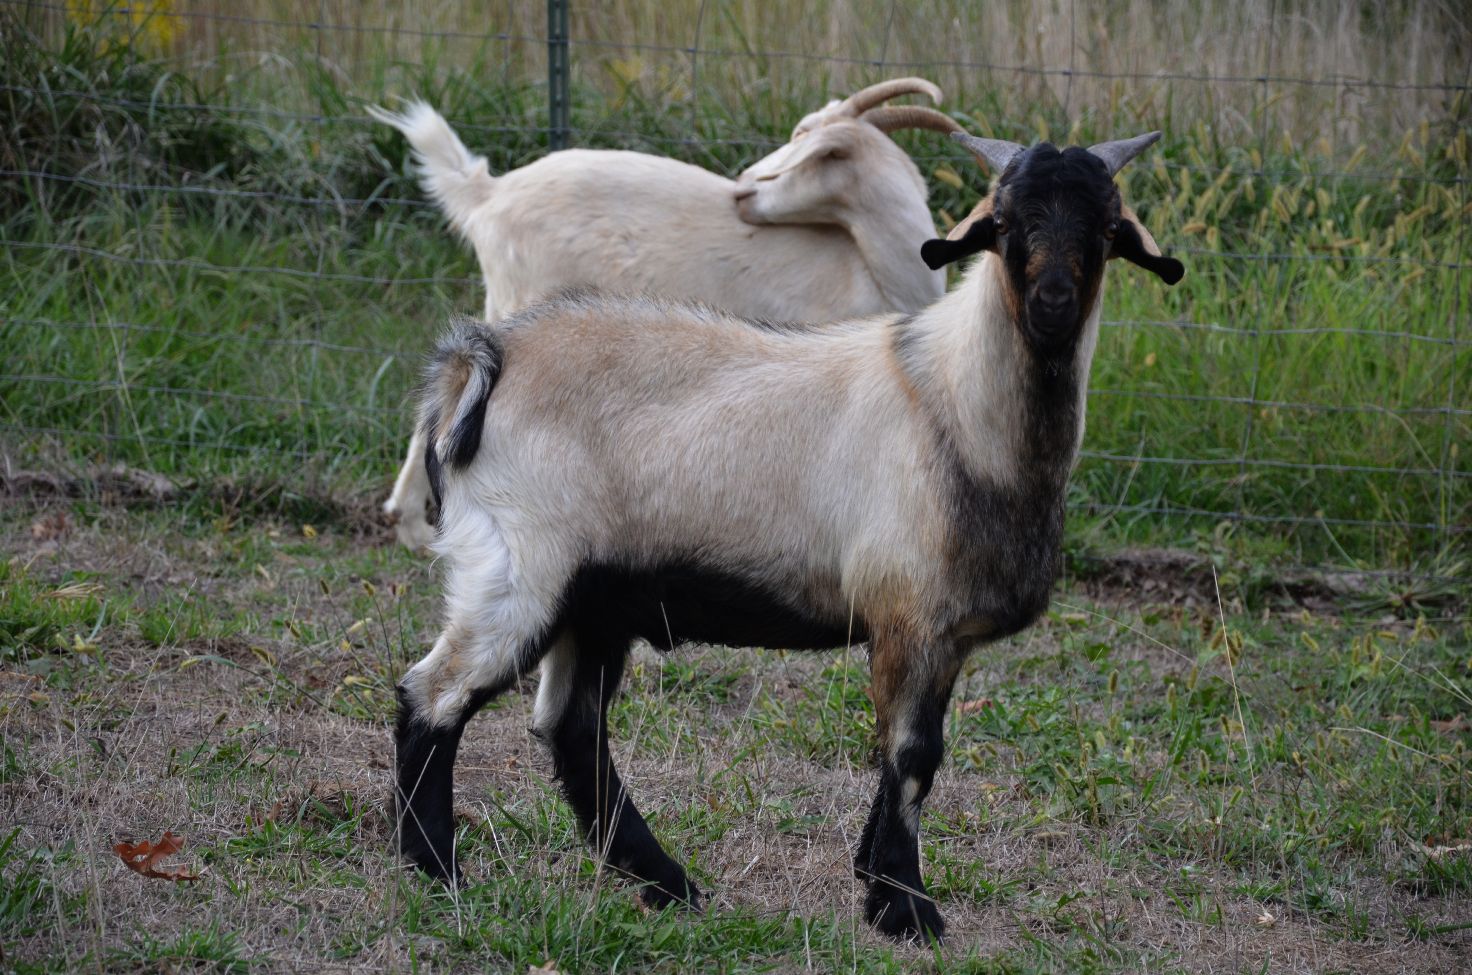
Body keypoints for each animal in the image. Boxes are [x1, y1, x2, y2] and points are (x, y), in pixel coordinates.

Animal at [370, 79, 961, 549]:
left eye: (808, 148)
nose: (742, 189)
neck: (871, 261)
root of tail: (488, 194)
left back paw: (411, 523)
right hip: (525, 296)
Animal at [392, 128, 1184, 942]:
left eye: (1107, 229)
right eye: (1004, 222)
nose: (1053, 303)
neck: (953, 404)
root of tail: (481, 360)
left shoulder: (940, 632)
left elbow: (910, 757)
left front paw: (876, 882)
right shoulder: (912, 614)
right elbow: (913, 755)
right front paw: (905, 905)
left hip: (594, 598)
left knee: (571, 730)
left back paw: (667, 883)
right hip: (520, 569)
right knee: (434, 696)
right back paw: (437, 868)